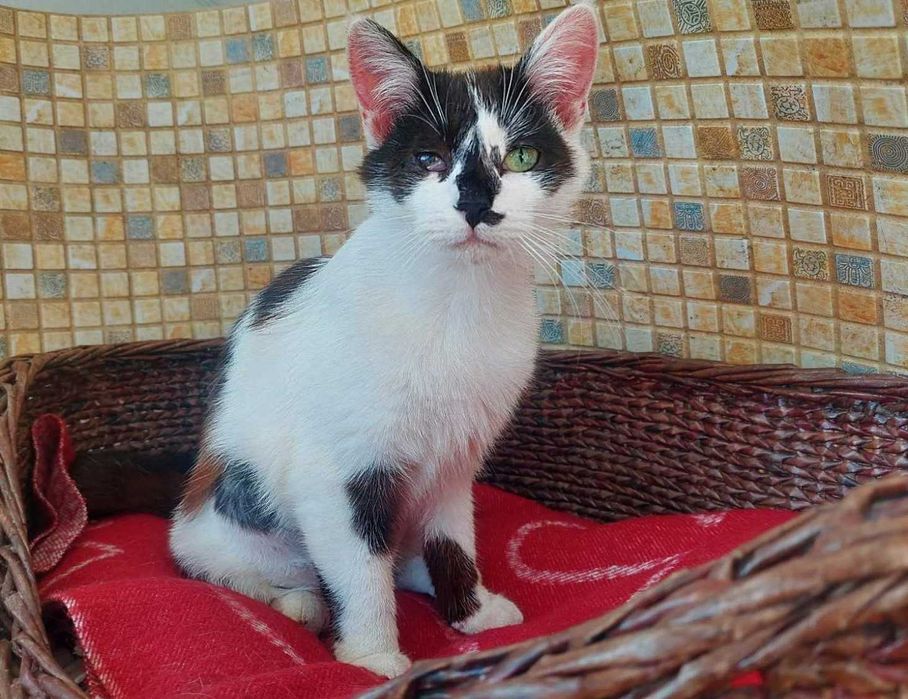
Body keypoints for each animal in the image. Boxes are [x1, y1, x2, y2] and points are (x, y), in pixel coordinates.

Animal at [168, 3, 599, 679]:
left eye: (524, 156)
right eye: (427, 159)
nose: (476, 203)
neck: (455, 304)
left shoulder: (455, 459)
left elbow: (453, 536)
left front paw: (470, 610)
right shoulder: (335, 472)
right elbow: (356, 565)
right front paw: (371, 653)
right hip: (224, 512)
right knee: (217, 563)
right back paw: (295, 602)